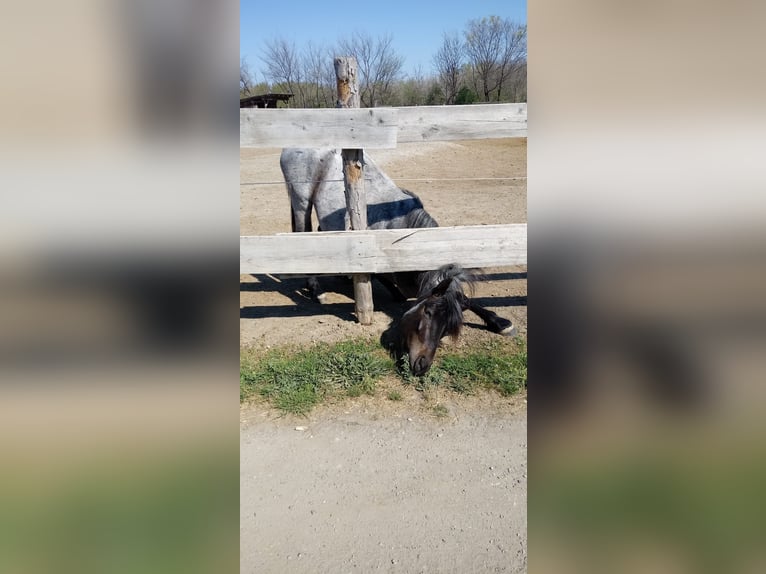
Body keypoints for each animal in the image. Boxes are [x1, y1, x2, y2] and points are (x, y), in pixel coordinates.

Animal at [280, 146, 520, 376]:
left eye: (446, 328)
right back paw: (316, 289)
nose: (422, 365)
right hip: (301, 203)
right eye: (428, 313)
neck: (402, 234)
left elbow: (464, 299)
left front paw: (500, 323)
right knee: (303, 232)